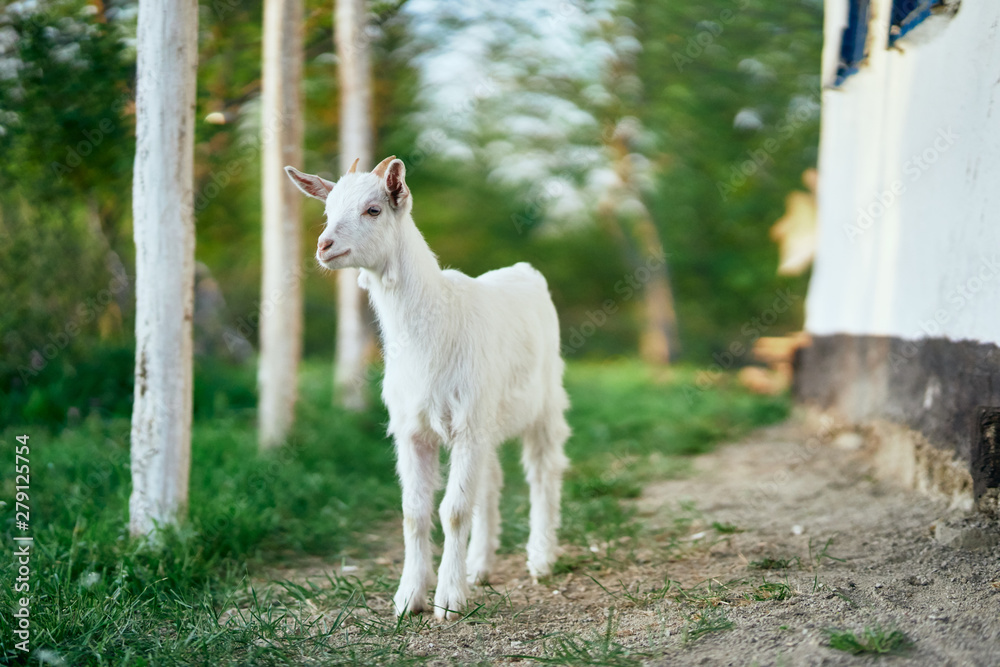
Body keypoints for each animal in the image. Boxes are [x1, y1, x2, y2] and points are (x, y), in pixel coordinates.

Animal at [285, 156, 571, 620]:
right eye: (327, 211)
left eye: (373, 210)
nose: (324, 246)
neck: (436, 327)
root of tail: (522, 270)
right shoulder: (413, 429)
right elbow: (414, 513)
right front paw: (408, 598)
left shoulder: (468, 423)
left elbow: (453, 510)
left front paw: (449, 600)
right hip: (489, 417)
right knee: (490, 481)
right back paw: (479, 566)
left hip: (543, 401)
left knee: (544, 471)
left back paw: (540, 558)